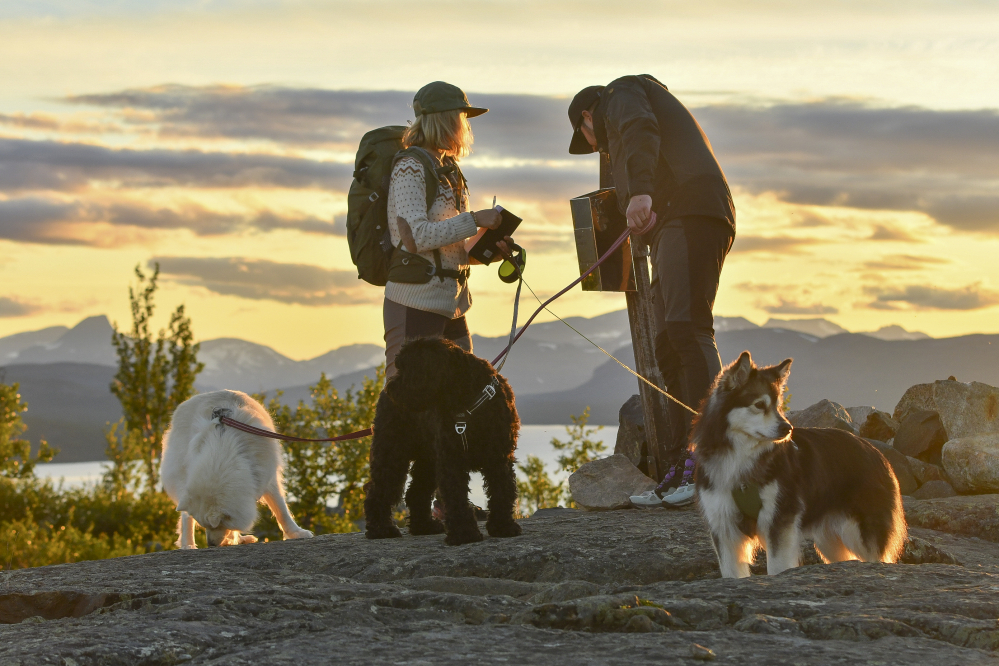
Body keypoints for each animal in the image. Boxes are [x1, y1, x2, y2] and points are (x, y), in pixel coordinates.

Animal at [162, 390, 314, 544]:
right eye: (205, 525)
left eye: (217, 525)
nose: (210, 544)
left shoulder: (267, 476)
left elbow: (281, 510)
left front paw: (296, 532)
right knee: (186, 518)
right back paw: (189, 545)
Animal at [366, 338, 524, 544]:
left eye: (410, 367)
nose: (391, 389)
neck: (468, 403)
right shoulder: (452, 459)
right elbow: (456, 495)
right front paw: (464, 533)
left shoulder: (499, 457)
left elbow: (502, 491)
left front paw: (503, 526)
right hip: (392, 453)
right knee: (379, 491)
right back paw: (381, 529)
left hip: (427, 460)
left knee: (416, 492)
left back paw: (424, 526)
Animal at [696, 352, 908, 576]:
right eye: (759, 405)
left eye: (779, 407)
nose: (787, 428)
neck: (741, 458)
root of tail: (877, 452)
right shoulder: (723, 526)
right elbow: (732, 573)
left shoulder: (779, 521)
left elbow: (777, 567)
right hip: (829, 541)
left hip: (859, 534)